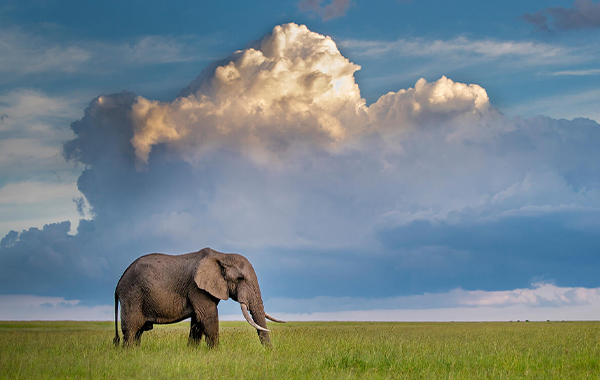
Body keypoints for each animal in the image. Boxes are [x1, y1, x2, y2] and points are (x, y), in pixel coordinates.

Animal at [113, 246, 286, 348]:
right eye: (240, 278)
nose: (269, 353)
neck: (222, 255)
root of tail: (118, 284)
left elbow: (197, 320)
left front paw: (192, 352)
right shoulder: (197, 288)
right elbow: (208, 316)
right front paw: (216, 353)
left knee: (139, 331)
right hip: (133, 295)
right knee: (131, 329)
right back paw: (129, 353)